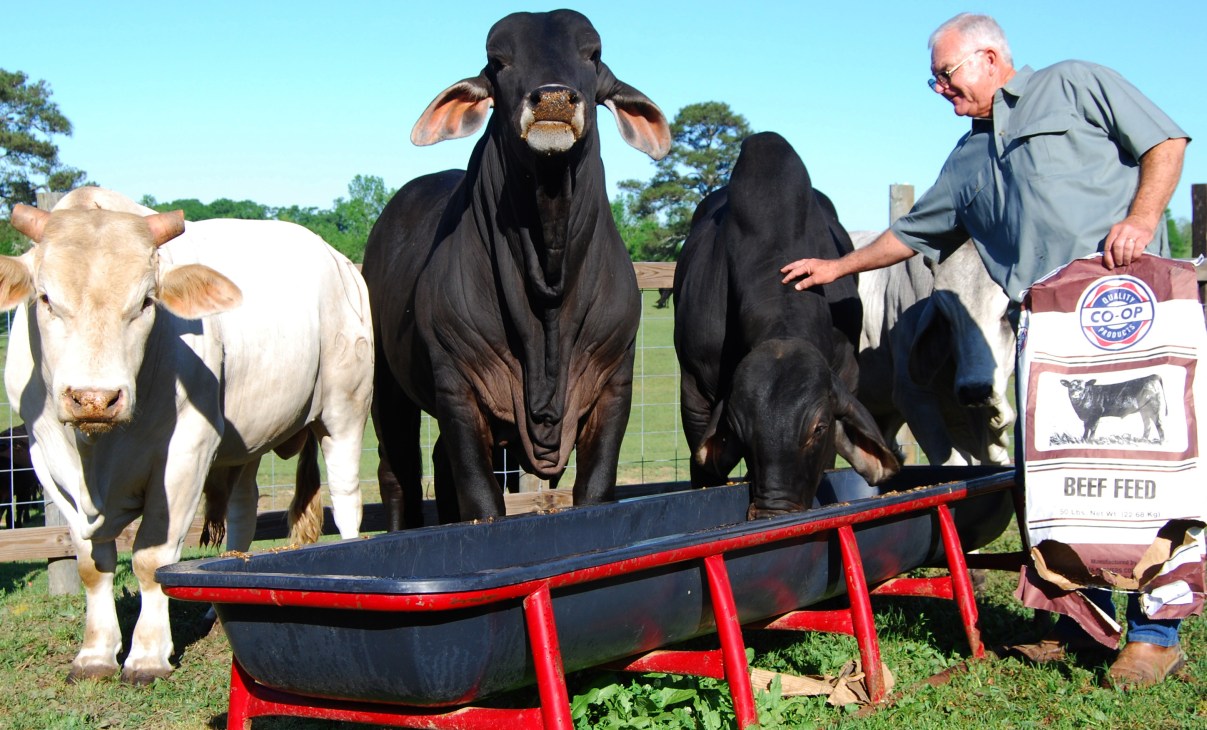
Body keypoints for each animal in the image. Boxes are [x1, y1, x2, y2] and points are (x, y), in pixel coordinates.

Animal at [2, 187, 373, 683]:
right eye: (44, 298)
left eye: (146, 301)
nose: (95, 398)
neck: (95, 453)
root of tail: (337, 259)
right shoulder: (46, 458)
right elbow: (90, 564)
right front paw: (95, 653)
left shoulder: (185, 452)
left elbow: (150, 559)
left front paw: (146, 656)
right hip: (246, 439)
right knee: (244, 511)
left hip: (344, 409)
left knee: (348, 500)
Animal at [362, 9, 671, 527]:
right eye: (498, 61)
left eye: (593, 54)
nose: (553, 99)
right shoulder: (457, 388)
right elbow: (481, 499)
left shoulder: (615, 385)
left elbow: (595, 488)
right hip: (386, 384)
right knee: (398, 470)